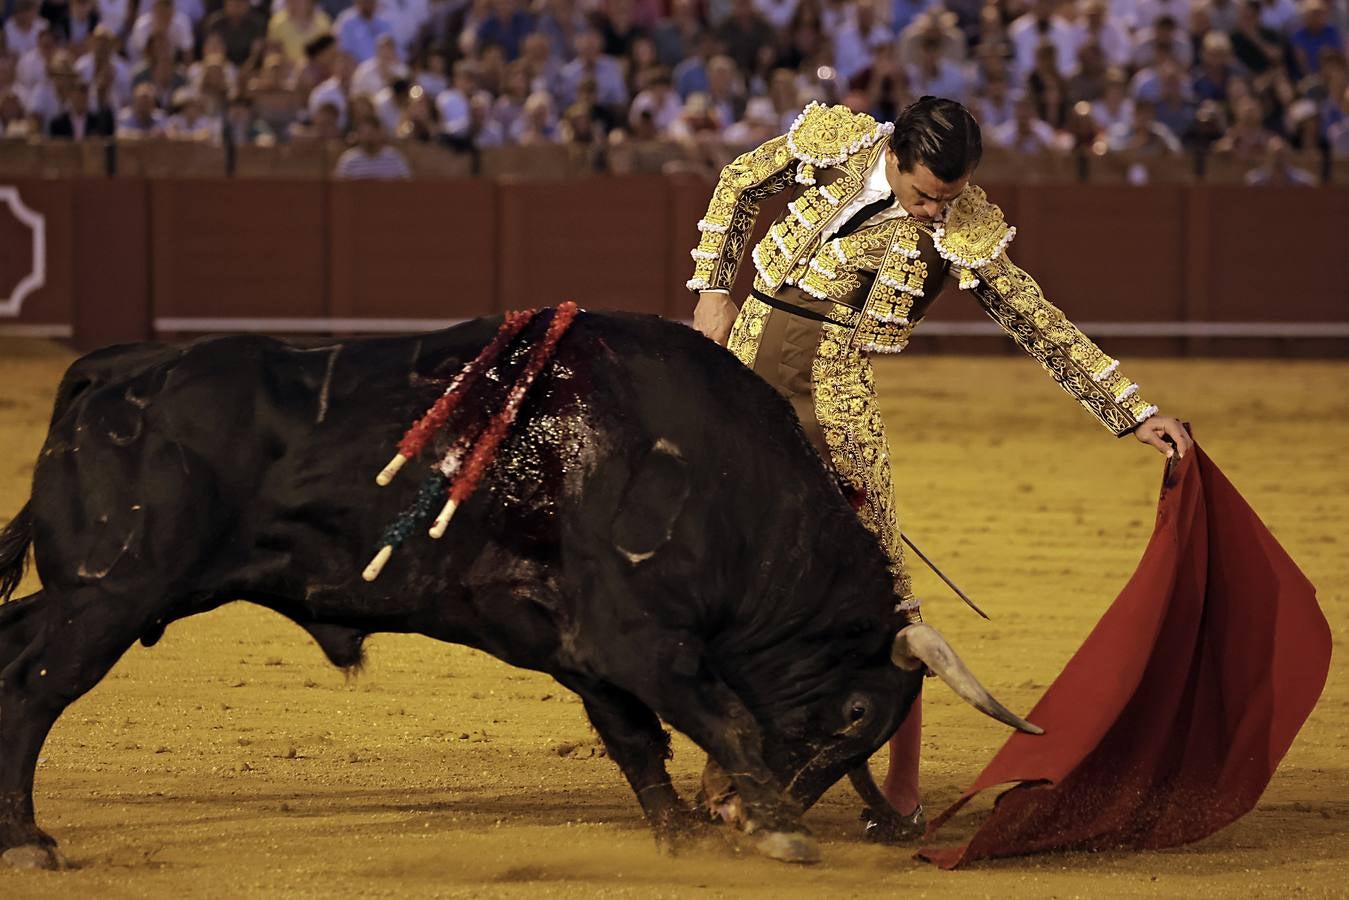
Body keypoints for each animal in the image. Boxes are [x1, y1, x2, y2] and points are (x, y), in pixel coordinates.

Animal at [0, 310, 1030, 863]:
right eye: (858, 714)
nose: (739, 811)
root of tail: (112, 368)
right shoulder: (638, 640)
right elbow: (723, 718)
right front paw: (777, 836)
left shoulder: (585, 650)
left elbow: (638, 740)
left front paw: (684, 838)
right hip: (111, 594)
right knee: (33, 691)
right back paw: (29, 841)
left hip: (107, 592)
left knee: (13, 650)